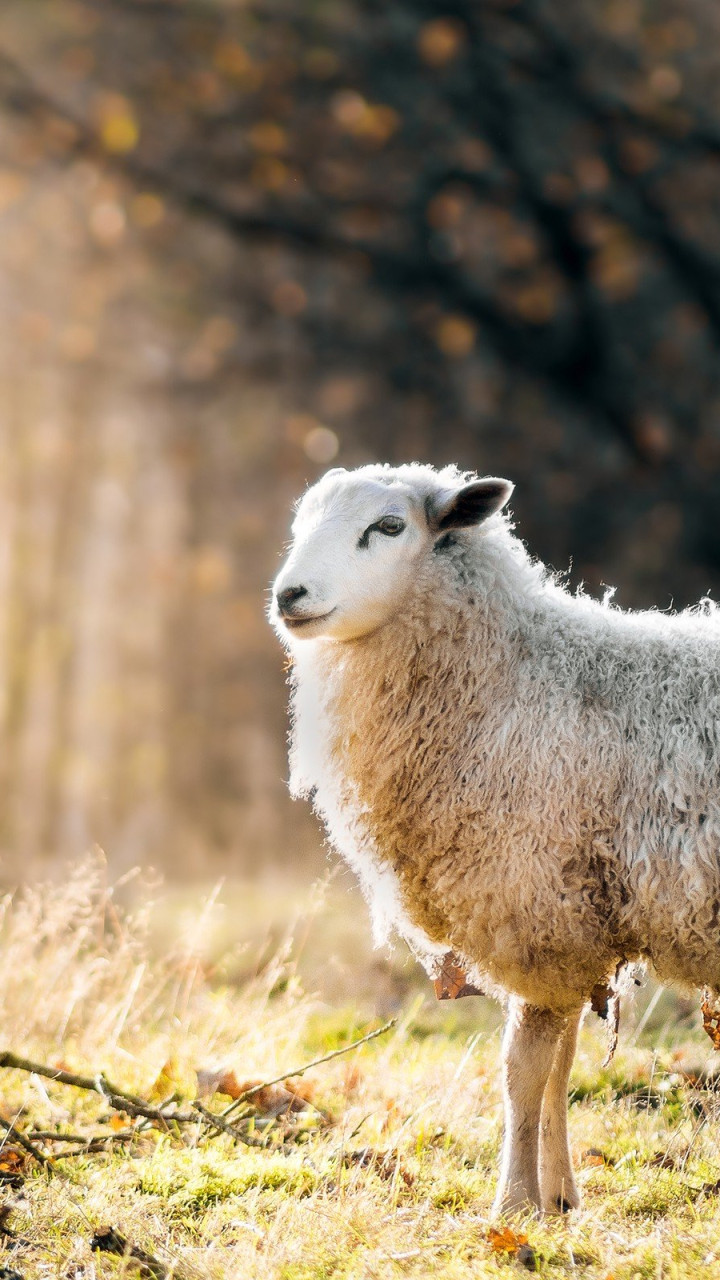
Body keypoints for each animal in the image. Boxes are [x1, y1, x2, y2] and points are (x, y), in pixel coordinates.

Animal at [270, 460, 720, 1216]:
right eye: (301, 520)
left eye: (388, 526)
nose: (288, 596)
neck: (516, 680)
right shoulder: (571, 925)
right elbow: (561, 1063)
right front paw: (560, 1198)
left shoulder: (536, 910)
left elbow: (523, 1069)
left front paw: (513, 1205)